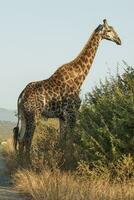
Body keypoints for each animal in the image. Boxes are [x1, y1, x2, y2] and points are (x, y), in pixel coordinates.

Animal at [13, 18, 121, 162]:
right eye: (109, 30)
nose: (119, 40)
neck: (80, 77)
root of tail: (22, 95)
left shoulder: (62, 116)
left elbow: (62, 142)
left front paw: (61, 161)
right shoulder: (72, 113)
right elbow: (70, 140)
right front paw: (69, 162)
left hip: (23, 115)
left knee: (20, 139)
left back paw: (19, 163)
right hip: (33, 114)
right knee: (27, 139)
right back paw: (28, 163)